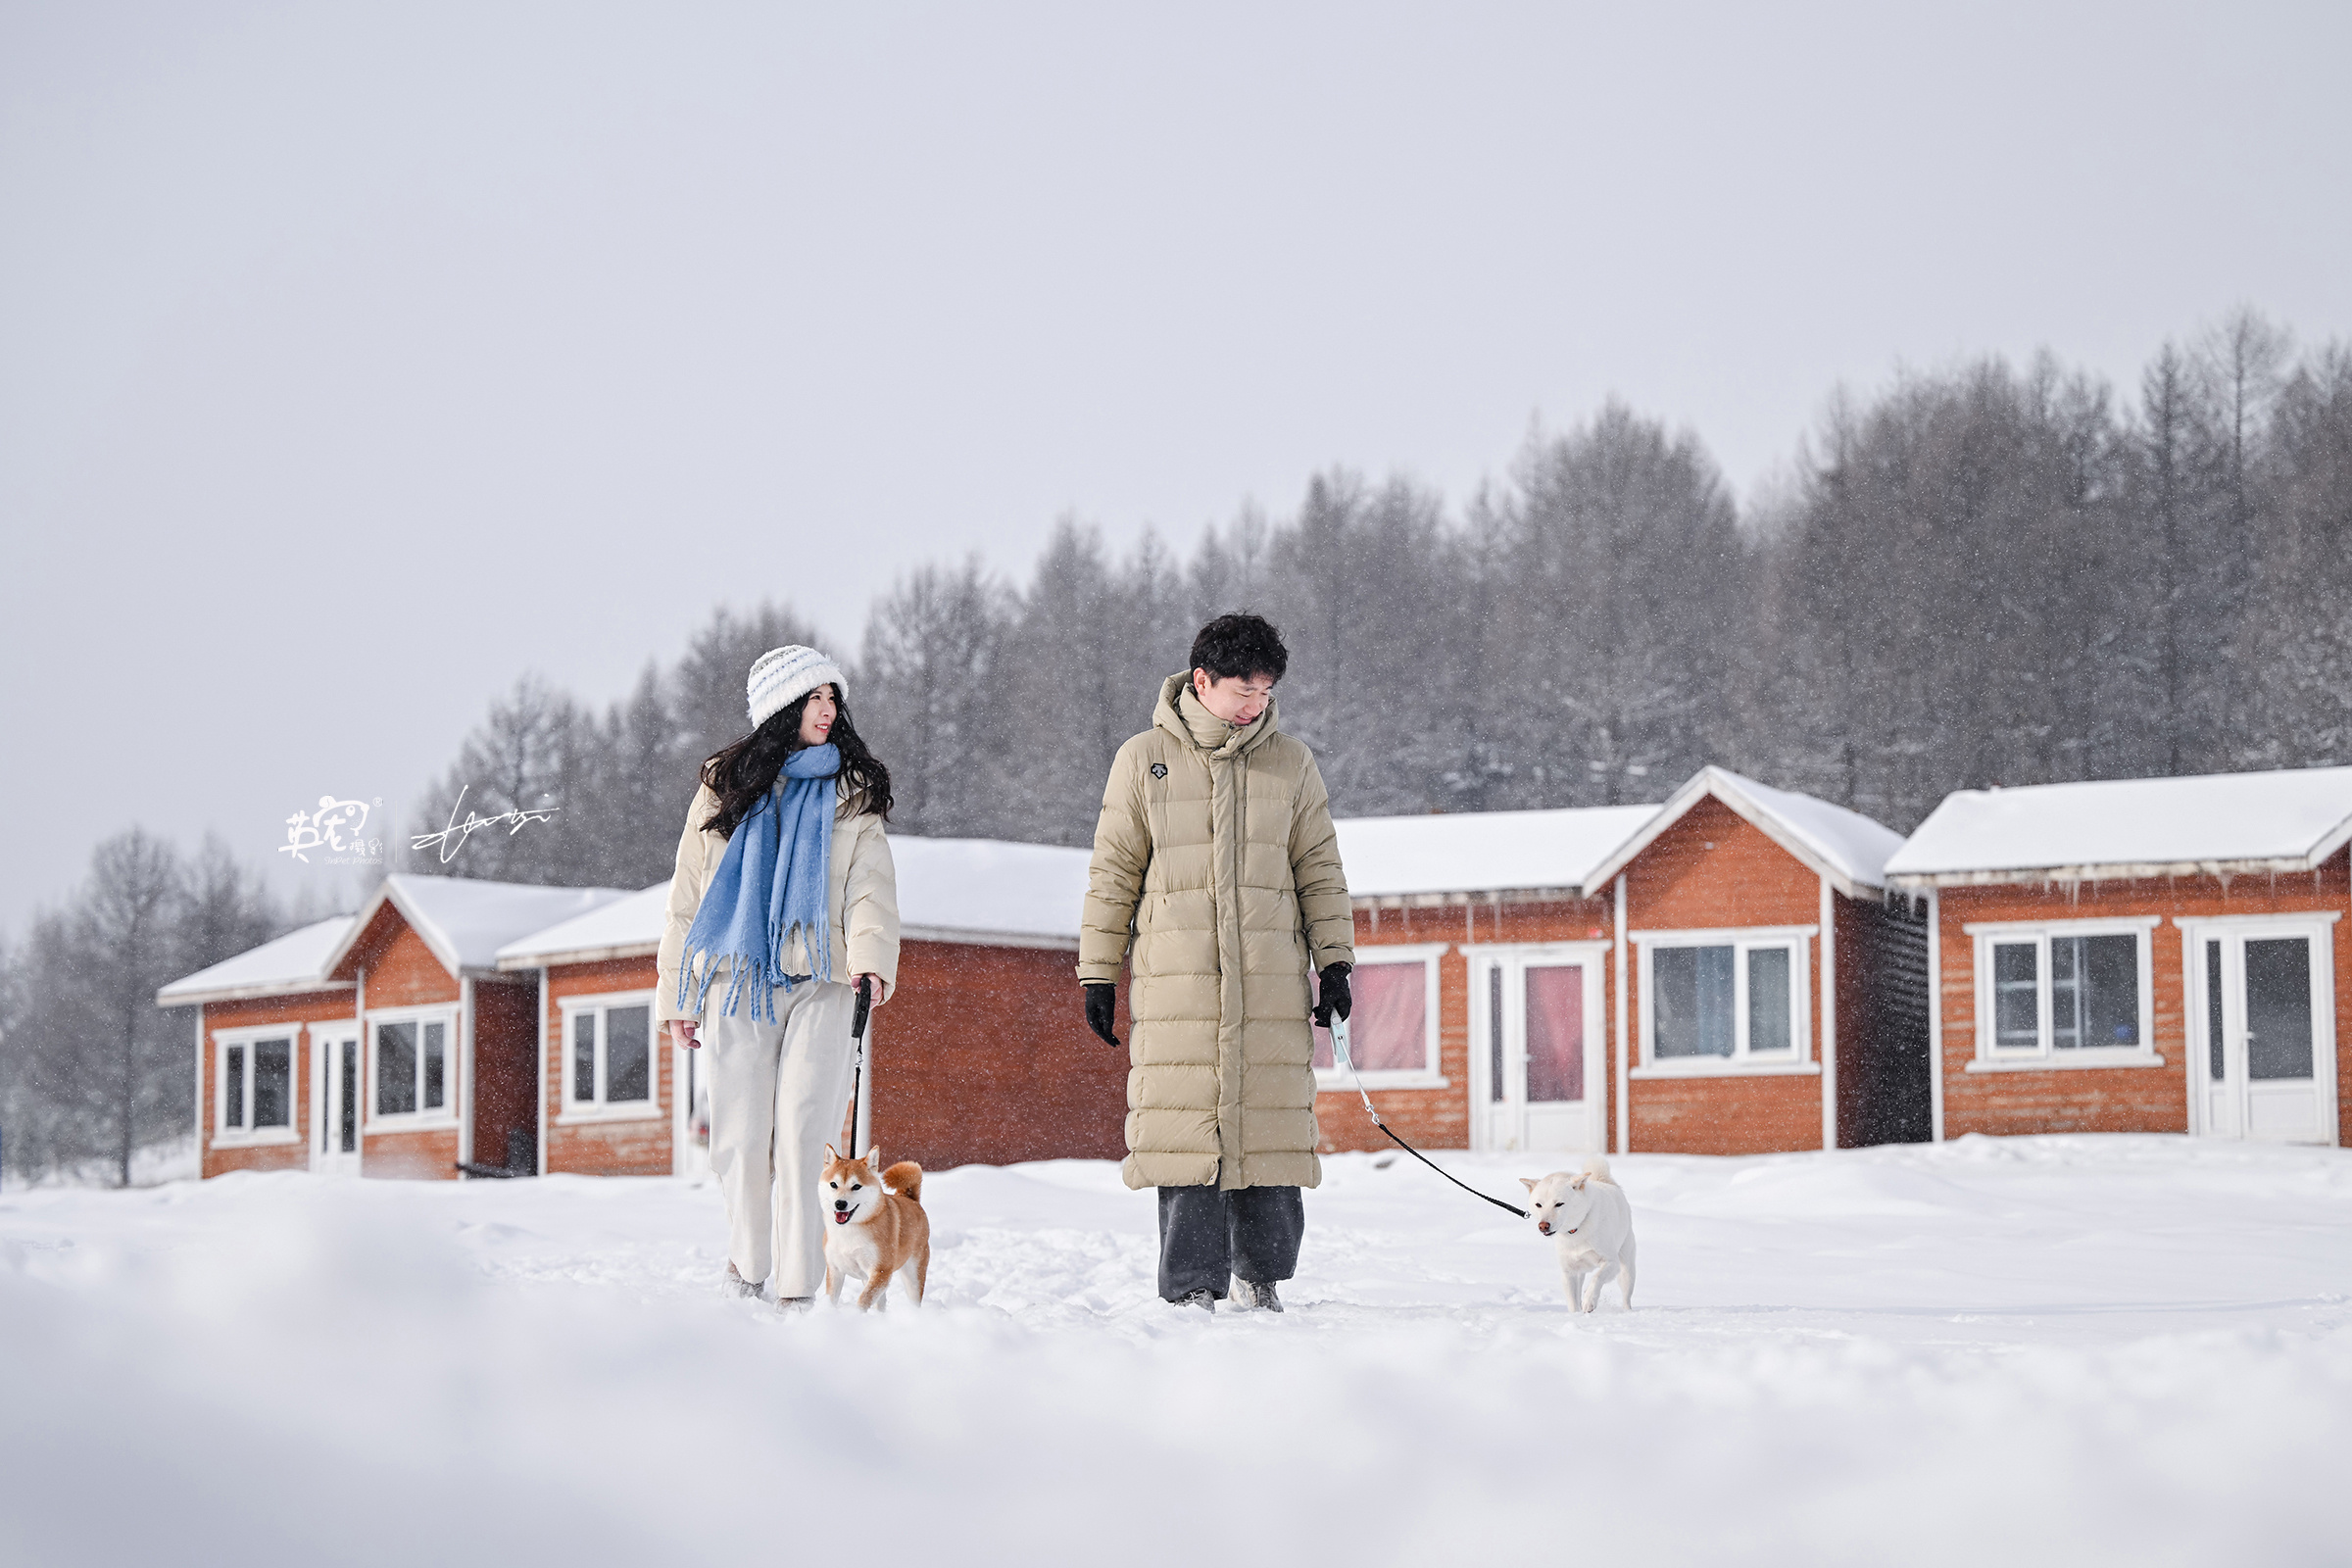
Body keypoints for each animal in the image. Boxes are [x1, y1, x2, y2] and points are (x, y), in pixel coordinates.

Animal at [818, 1142, 926, 1316]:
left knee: (914, 1298)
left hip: (913, 1274)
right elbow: (831, 1298)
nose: (840, 1203)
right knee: (880, 1301)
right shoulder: (835, 1270)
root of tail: (910, 1198)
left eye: (856, 1186)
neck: (849, 1231)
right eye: (833, 1184)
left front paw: (855, 1316)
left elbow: (863, 1300)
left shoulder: (881, 1271)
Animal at [1524, 1152, 1637, 1316]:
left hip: (1626, 1269)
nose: (1543, 1226)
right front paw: (1575, 1315)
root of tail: (1604, 1181)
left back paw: (1627, 1312)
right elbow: (1572, 1301)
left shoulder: (1611, 1262)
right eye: (1539, 1205)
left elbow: (1596, 1278)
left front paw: (1589, 1301)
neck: (1575, 1231)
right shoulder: (1569, 1272)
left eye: (1559, 1204)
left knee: (1626, 1297)